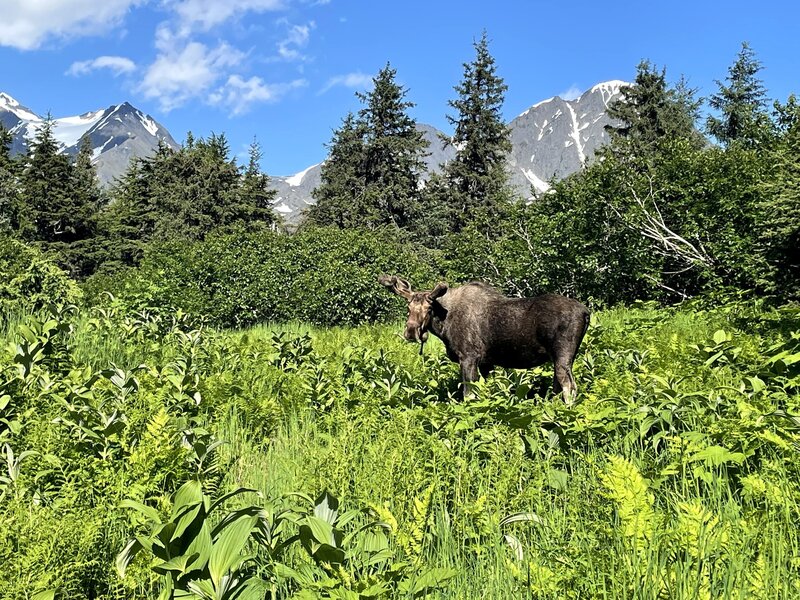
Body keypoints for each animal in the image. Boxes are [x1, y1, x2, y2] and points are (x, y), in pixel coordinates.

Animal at [378, 276, 592, 398]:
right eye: (408, 308)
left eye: (428, 309)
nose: (411, 332)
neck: (444, 325)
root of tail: (586, 312)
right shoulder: (486, 363)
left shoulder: (468, 357)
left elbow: (468, 395)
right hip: (562, 358)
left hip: (563, 354)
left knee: (569, 387)